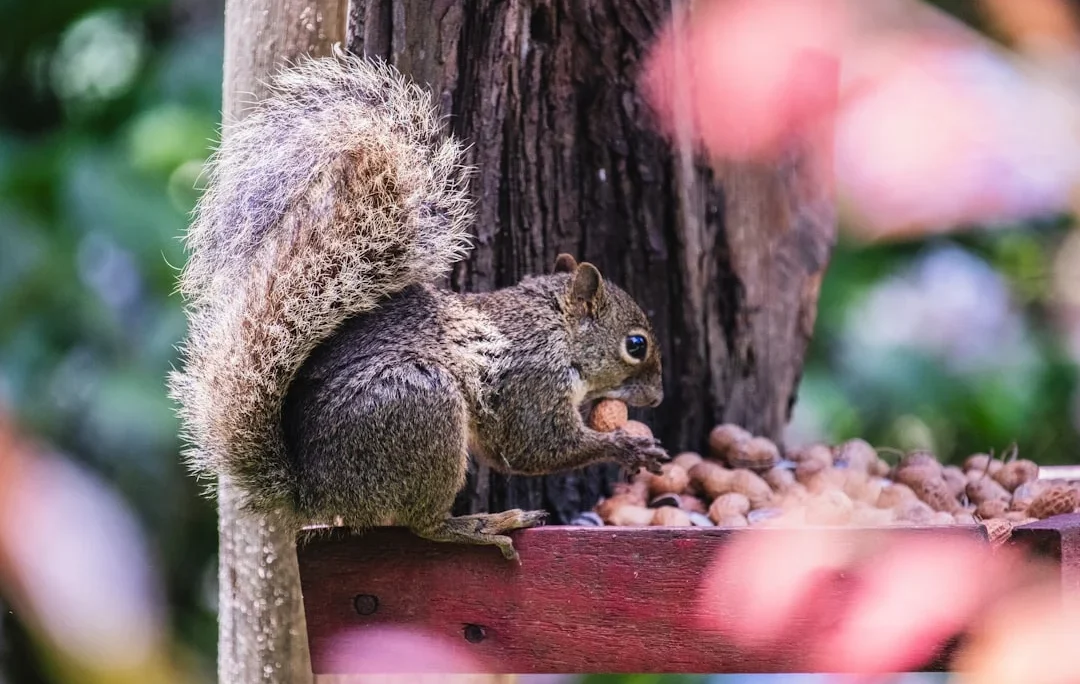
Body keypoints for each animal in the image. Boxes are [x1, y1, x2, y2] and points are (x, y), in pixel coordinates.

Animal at [168, 47, 667, 561]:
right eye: (636, 345)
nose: (657, 397)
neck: (556, 326)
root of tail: (313, 490)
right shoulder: (532, 379)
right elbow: (533, 447)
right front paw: (626, 447)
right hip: (422, 406)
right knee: (423, 525)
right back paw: (478, 526)